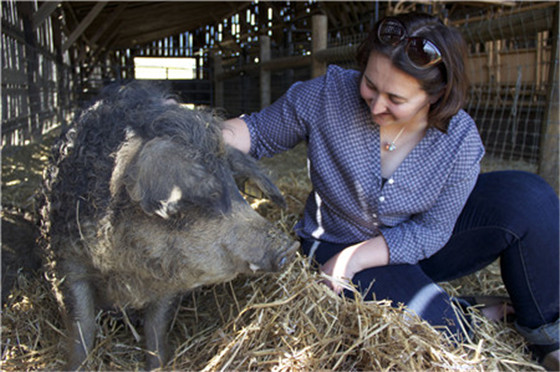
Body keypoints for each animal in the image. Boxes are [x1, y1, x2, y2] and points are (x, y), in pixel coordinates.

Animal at [41, 83, 300, 370]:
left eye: (235, 184)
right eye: (208, 192)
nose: (291, 246)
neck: (127, 267)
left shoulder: (170, 281)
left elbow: (156, 330)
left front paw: (159, 364)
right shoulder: (65, 258)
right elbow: (81, 326)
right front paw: (76, 365)